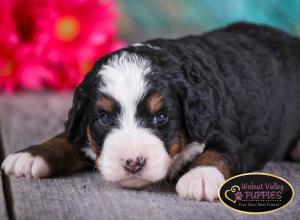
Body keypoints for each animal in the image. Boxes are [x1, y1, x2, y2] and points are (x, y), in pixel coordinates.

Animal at [0, 22, 300, 201]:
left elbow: (218, 152)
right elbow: (67, 137)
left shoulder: (225, 129)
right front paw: (31, 155)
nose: (133, 162)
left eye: (160, 117)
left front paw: (200, 177)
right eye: (105, 118)